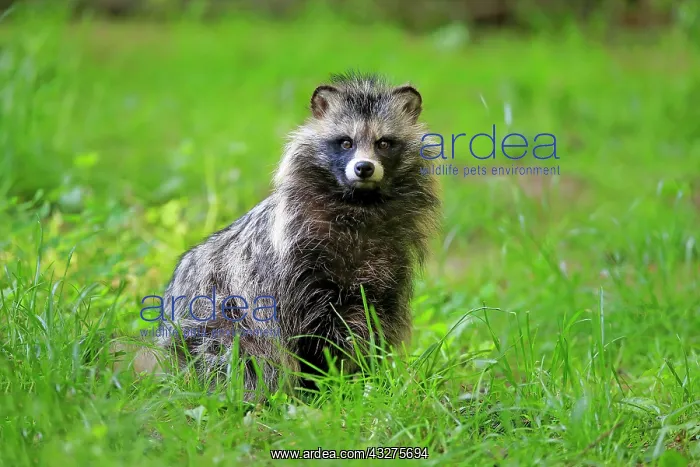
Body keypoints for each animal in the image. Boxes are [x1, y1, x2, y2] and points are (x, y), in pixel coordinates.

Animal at [154, 72, 440, 400]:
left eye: (384, 143)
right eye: (345, 142)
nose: (364, 168)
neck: (359, 204)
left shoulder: (389, 268)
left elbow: (376, 323)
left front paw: (362, 382)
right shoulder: (295, 266)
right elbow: (301, 331)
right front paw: (317, 387)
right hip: (209, 326)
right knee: (242, 350)